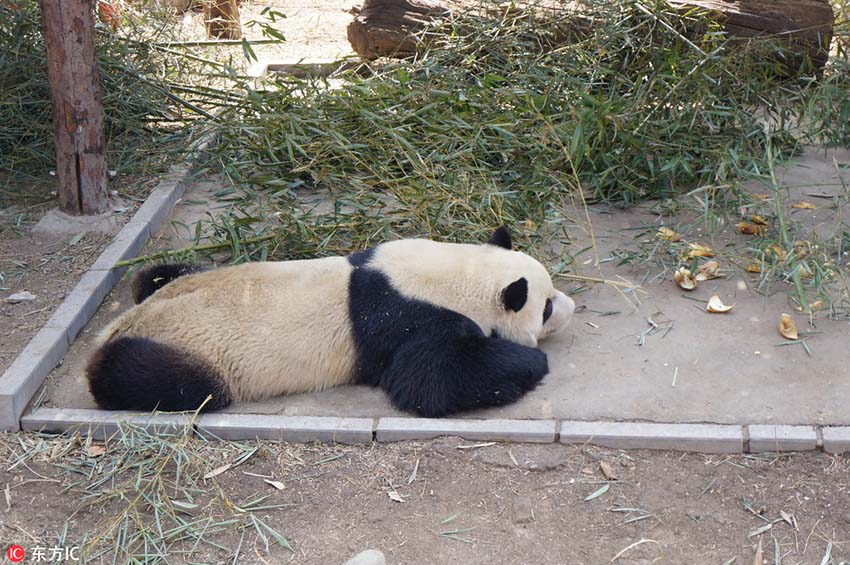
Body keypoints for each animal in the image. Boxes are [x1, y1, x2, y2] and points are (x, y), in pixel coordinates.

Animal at [86, 227, 572, 416]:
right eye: (545, 306)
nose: (570, 308)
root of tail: (117, 326)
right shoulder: (403, 319)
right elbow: (427, 380)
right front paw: (531, 362)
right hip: (189, 354)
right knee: (156, 378)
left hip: (174, 281)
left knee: (156, 275)